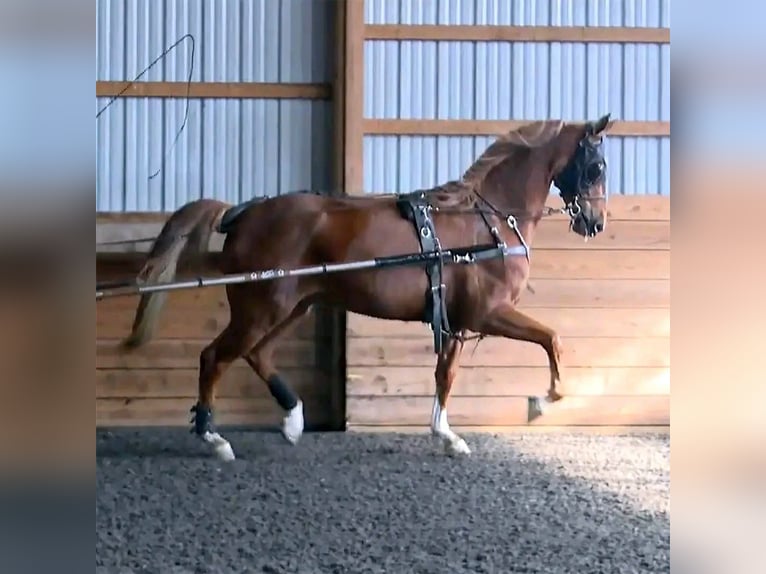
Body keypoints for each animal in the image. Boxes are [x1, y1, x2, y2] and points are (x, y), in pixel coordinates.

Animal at [120, 114, 613, 460]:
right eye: (596, 167)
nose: (595, 222)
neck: (485, 222)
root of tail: (243, 213)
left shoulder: (455, 321)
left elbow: (446, 375)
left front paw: (446, 435)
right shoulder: (486, 313)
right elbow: (552, 339)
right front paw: (542, 400)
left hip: (295, 306)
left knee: (256, 355)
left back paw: (293, 421)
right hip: (261, 309)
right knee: (215, 358)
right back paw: (214, 438)